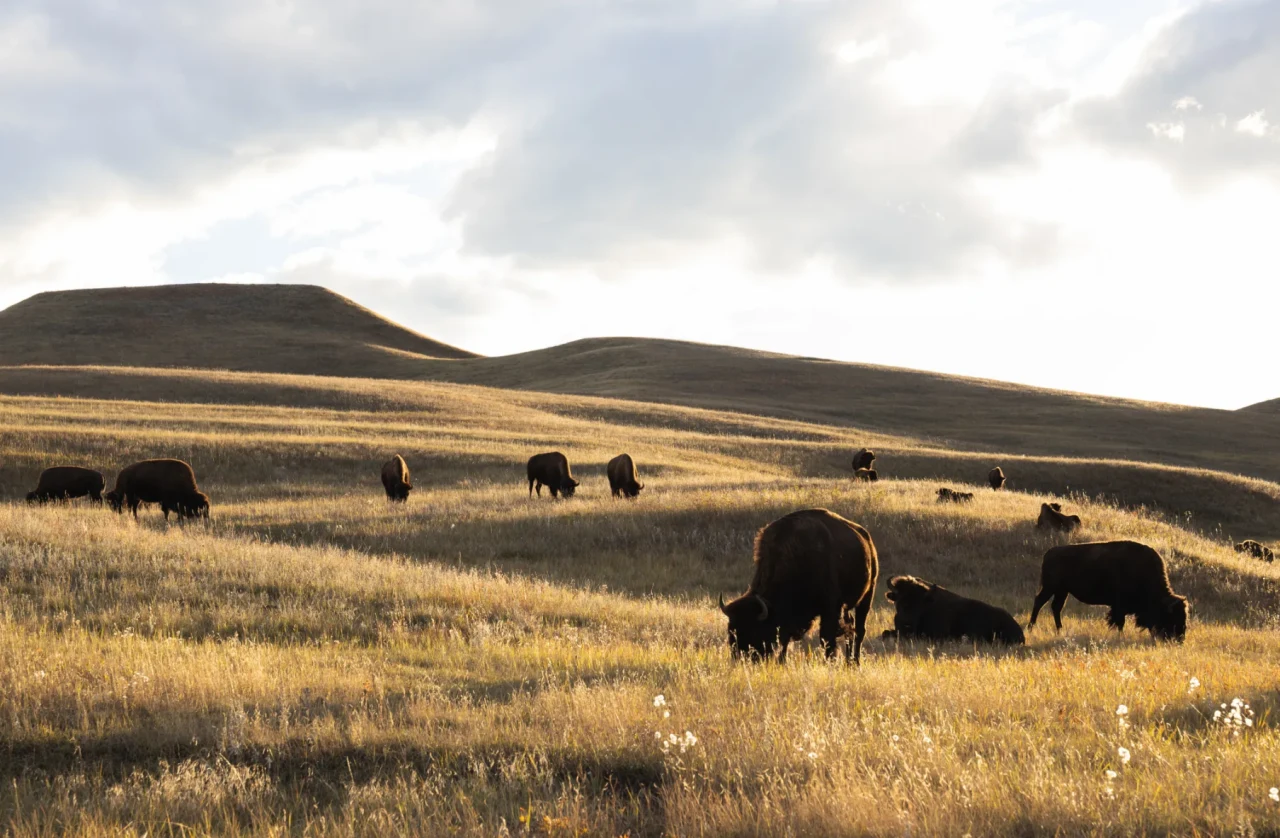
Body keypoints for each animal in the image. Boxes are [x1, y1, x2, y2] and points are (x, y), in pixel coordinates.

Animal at [719, 508, 879, 665]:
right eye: (731, 631)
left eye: (754, 630)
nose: (740, 657)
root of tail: (866, 538)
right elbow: (785, 640)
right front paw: (782, 661)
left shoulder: (830, 608)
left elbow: (826, 638)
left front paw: (828, 661)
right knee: (850, 627)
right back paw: (848, 661)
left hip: (867, 596)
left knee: (859, 630)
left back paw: (855, 662)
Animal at [1028, 540, 1189, 642]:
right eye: (1172, 617)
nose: (1180, 639)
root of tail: (1049, 553)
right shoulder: (1119, 606)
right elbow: (1120, 622)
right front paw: (1120, 636)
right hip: (1050, 588)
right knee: (1039, 602)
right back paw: (1031, 628)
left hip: (1062, 591)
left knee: (1056, 607)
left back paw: (1059, 630)